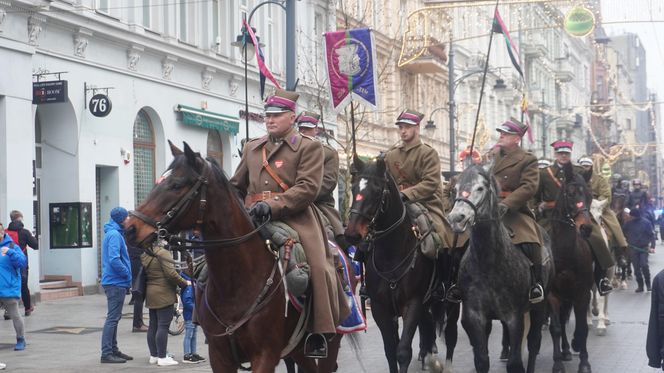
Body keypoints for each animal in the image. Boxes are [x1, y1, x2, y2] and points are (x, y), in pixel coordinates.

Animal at [126, 141, 350, 370]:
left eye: (176, 184)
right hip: (297, 352)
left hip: (327, 344)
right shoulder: (219, 355)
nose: (130, 227)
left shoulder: (265, 355)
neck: (235, 283)